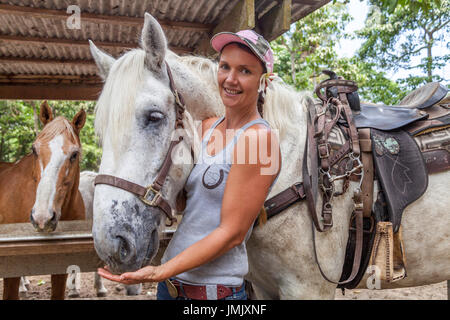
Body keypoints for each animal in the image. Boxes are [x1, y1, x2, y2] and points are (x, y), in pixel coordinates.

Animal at [89, 13, 450, 300]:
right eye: (101, 130)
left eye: (154, 117)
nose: (112, 244)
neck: (289, 167)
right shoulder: (264, 286)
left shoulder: (310, 289)